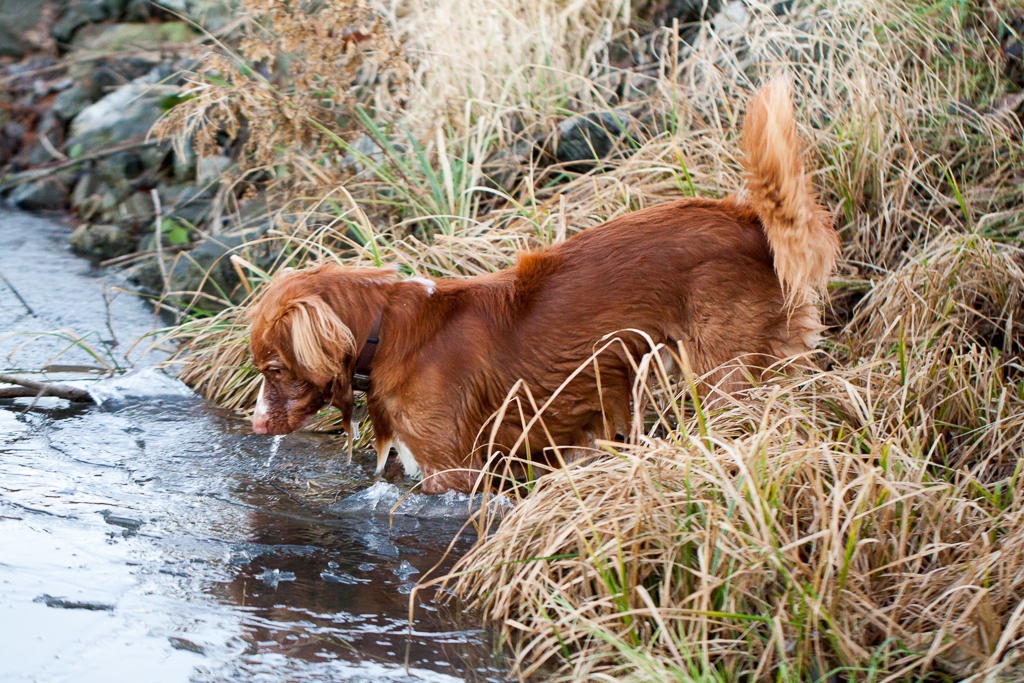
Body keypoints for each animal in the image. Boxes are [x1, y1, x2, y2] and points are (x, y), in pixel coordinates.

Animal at [247, 80, 839, 493]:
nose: (253, 427)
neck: (388, 330)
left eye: (273, 369)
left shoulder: (452, 470)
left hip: (726, 375)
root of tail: (747, 219)